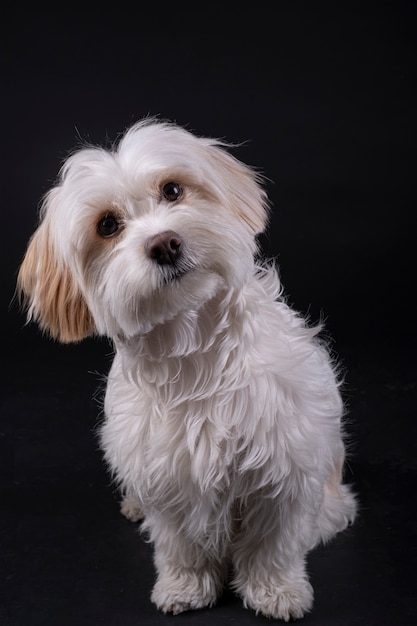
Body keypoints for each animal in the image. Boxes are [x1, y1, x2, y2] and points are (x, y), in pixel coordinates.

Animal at [17, 118, 356, 620]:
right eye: (107, 225)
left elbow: (272, 543)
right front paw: (186, 586)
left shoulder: (284, 466)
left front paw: (275, 590)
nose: (165, 243)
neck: (195, 348)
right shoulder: (168, 474)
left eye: (172, 190)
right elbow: (181, 545)